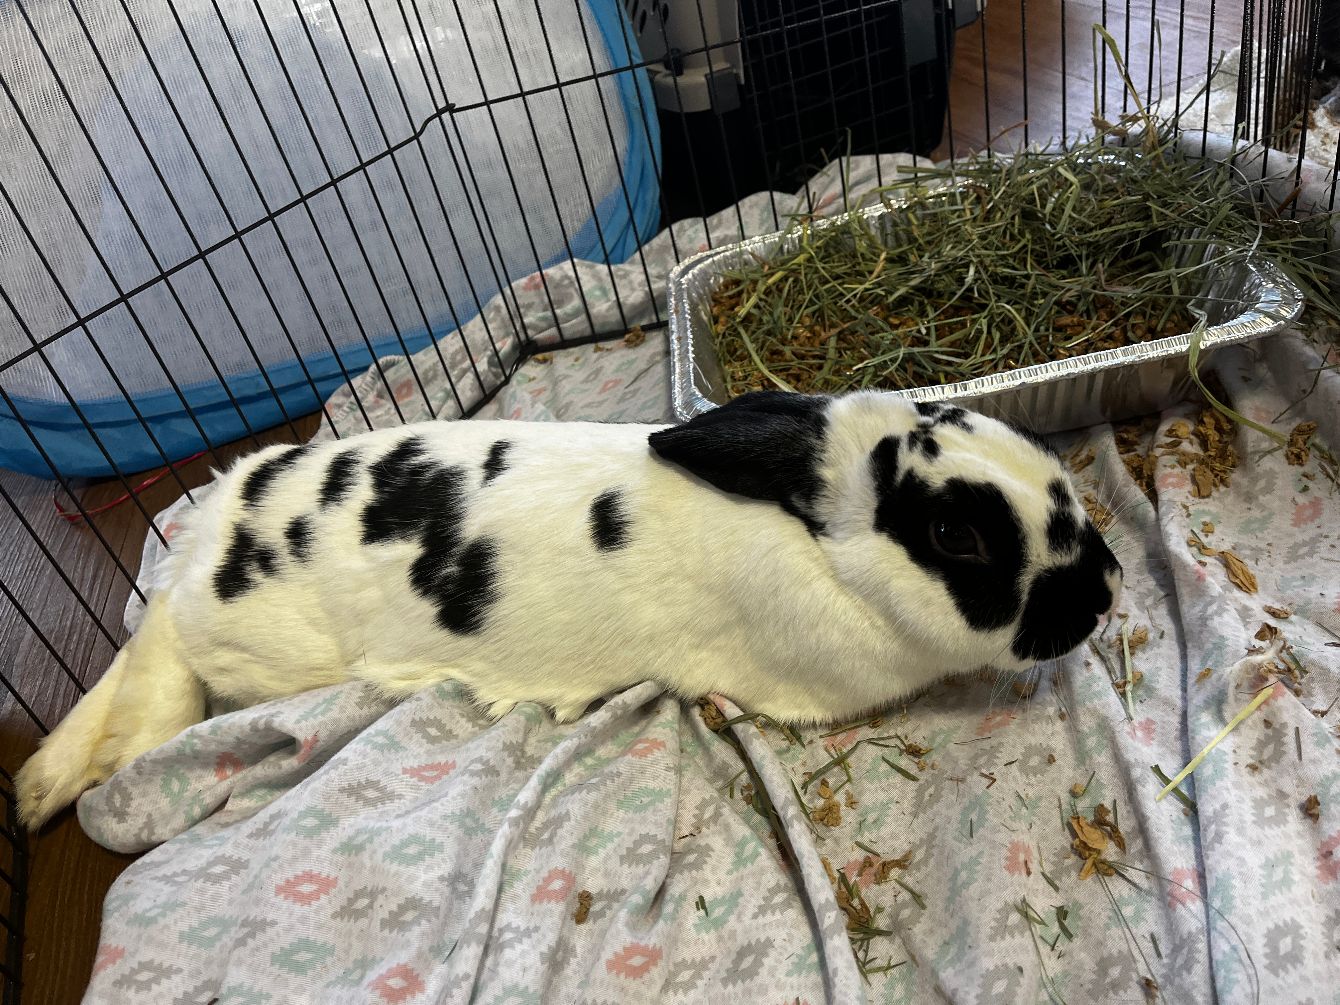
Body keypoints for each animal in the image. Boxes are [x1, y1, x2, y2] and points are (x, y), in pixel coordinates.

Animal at [16, 390, 1122, 829]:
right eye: (957, 537)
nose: (1108, 586)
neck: (823, 544)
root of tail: (210, 531)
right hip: (254, 648)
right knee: (163, 648)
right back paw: (82, 770)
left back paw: (37, 785)